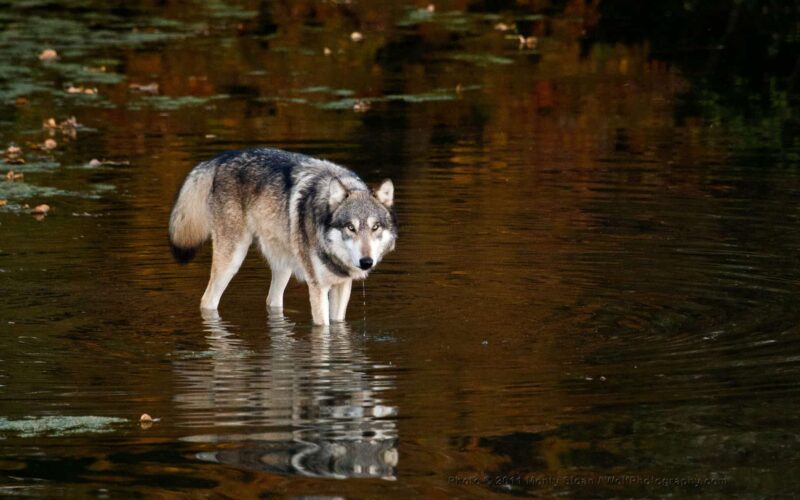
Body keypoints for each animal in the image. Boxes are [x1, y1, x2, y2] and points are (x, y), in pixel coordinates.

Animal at [169, 148, 396, 326]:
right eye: (351, 227)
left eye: (375, 227)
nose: (366, 262)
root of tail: (223, 157)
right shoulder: (318, 288)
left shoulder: (342, 286)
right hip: (232, 261)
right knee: (207, 300)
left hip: (283, 266)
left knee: (272, 301)